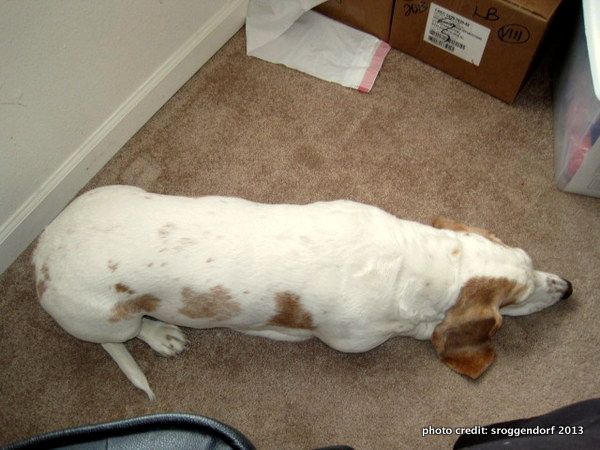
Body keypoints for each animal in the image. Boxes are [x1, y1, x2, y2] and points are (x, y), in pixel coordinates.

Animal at [33, 185, 572, 399]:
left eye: (530, 259)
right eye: (512, 304)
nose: (568, 287)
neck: (412, 262)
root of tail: (39, 256)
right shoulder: (350, 340)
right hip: (112, 317)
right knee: (125, 335)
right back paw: (162, 335)